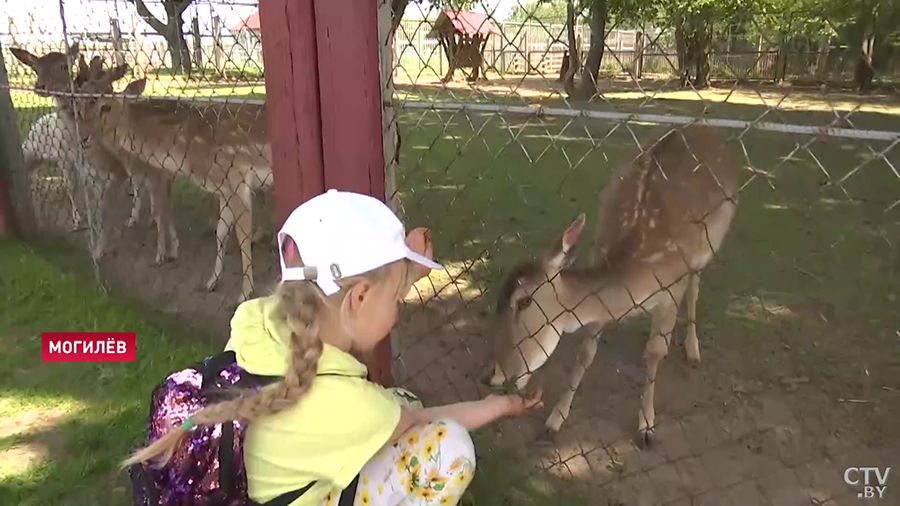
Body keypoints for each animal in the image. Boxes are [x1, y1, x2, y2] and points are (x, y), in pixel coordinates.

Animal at [10, 44, 179, 264]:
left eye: (64, 65)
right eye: (35, 67)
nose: (40, 86)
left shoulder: (114, 173)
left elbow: (106, 211)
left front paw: (100, 250)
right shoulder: (91, 175)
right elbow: (97, 210)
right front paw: (98, 244)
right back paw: (136, 220)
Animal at [71, 68, 270, 302]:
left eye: (105, 106)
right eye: (79, 106)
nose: (83, 137)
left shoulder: (236, 180)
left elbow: (242, 238)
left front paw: (245, 294)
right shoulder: (223, 188)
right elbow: (220, 232)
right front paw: (211, 282)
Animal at [486, 124, 740, 444]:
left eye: (524, 301)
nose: (495, 374)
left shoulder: (673, 287)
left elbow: (656, 351)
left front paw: (646, 426)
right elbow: (586, 351)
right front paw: (555, 419)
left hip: (707, 250)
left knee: (695, 287)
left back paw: (693, 350)